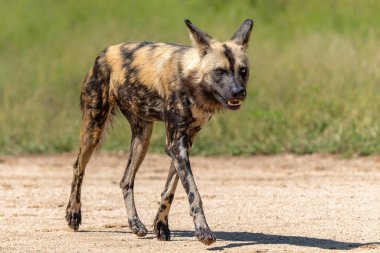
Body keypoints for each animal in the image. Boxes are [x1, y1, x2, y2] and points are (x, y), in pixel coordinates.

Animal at [67, 19, 254, 245]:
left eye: (242, 71)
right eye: (219, 71)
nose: (238, 92)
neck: (192, 81)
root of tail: (104, 52)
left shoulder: (184, 144)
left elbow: (170, 190)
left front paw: (161, 226)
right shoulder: (175, 145)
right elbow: (194, 193)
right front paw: (203, 231)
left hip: (142, 137)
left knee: (126, 180)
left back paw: (135, 224)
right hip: (93, 131)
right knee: (78, 168)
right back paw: (73, 214)